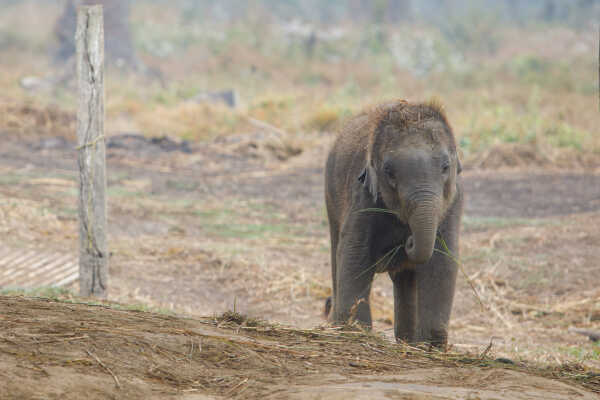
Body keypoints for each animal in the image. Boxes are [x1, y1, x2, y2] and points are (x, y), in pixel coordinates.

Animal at [326, 98, 462, 346]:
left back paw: (407, 342)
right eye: (389, 171)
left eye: (446, 167)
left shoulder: (454, 201)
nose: (408, 241)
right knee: (336, 252)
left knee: (405, 280)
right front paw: (356, 332)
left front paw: (430, 346)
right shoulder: (363, 195)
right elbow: (354, 254)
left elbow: (443, 260)